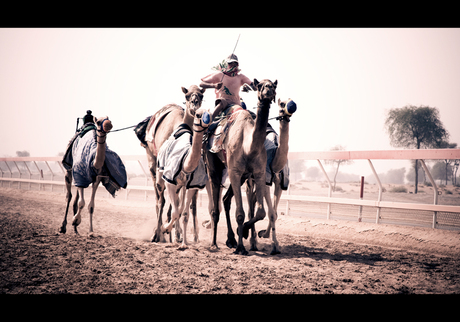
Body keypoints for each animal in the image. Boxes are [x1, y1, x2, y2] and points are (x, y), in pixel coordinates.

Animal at [141, 84, 204, 243]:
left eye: (201, 95)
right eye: (187, 95)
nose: (194, 103)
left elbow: (179, 207)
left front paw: (177, 234)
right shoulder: (164, 172)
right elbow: (165, 202)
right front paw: (160, 233)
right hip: (152, 162)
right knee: (159, 199)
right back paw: (158, 234)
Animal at [204, 78, 276, 254]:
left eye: (273, 85)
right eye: (260, 85)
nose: (269, 90)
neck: (248, 146)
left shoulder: (258, 173)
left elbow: (260, 212)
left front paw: (242, 233)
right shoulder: (235, 172)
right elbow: (240, 214)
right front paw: (241, 247)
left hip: (240, 176)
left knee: (225, 199)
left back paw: (230, 240)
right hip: (215, 166)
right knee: (215, 208)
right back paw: (214, 244)